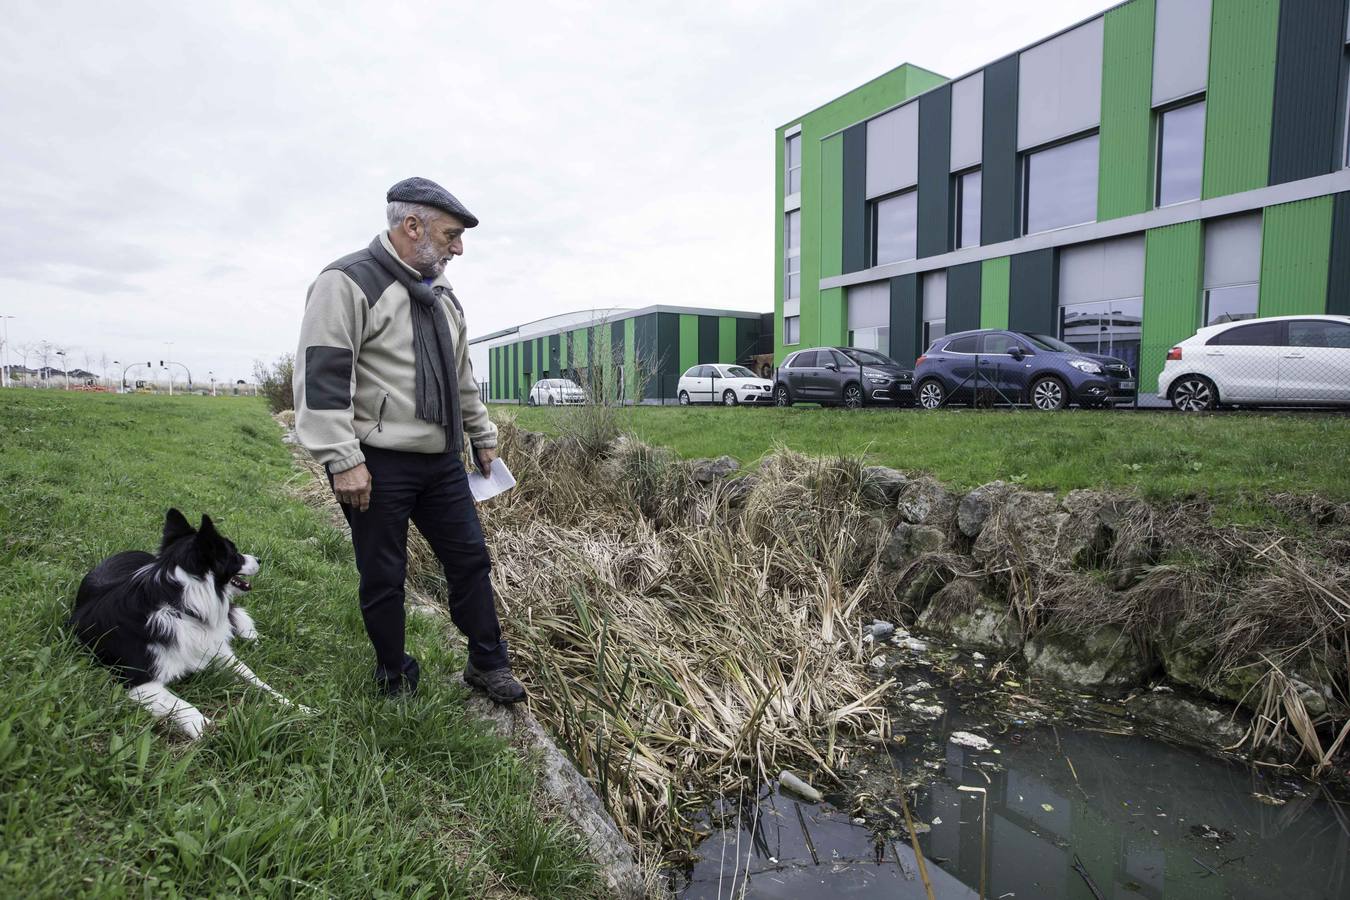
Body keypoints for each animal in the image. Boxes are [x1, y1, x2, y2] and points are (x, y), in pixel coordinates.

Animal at [69, 510, 309, 734]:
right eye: (234, 554)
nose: (259, 560)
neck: (181, 608)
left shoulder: (218, 652)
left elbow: (256, 679)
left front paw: (297, 707)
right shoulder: (138, 681)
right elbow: (184, 705)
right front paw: (209, 731)